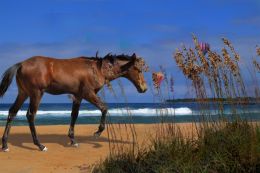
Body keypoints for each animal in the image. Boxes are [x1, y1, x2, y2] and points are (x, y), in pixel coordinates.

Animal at [0, 52, 147, 151]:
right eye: (138, 70)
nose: (144, 88)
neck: (97, 69)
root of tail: (21, 64)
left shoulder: (78, 96)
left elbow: (74, 116)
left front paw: (73, 140)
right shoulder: (88, 94)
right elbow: (104, 108)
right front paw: (97, 133)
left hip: (23, 93)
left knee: (12, 112)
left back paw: (5, 145)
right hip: (36, 94)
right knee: (30, 115)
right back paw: (40, 145)